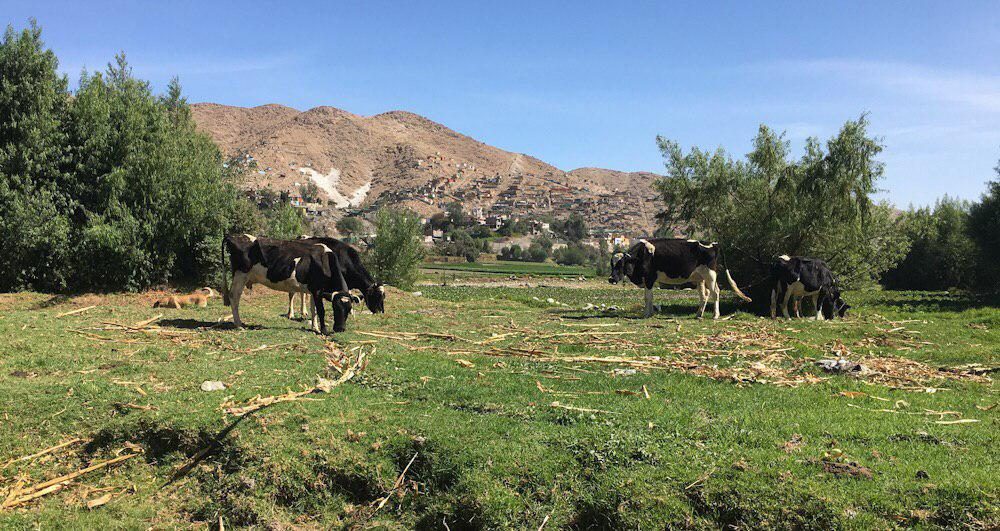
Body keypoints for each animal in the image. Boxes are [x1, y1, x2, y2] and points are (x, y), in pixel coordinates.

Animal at [225, 235, 358, 334]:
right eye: (335, 307)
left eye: (349, 309)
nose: (340, 329)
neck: (324, 261)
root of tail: (235, 236)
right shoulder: (317, 290)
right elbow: (321, 310)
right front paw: (323, 330)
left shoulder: (314, 289)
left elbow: (313, 309)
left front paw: (315, 327)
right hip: (240, 275)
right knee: (234, 296)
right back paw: (239, 324)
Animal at [604, 239, 752, 318]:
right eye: (611, 264)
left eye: (621, 264)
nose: (611, 279)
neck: (642, 255)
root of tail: (714, 243)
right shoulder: (647, 280)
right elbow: (649, 297)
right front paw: (650, 313)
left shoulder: (650, 278)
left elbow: (648, 297)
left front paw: (647, 314)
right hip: (700, 277)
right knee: (705, 294)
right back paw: (699, 314)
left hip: (710, 274)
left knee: (715, 292)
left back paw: (715, 315)